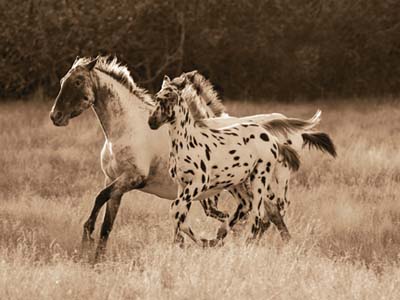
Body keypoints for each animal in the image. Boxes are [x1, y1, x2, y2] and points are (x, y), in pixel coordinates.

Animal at [147, 75, 300, 246]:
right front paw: (183, 243)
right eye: (157, 97)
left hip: (259, 178)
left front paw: (200, 242)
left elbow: (175, 210)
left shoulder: (198, 184)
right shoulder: (183, 185)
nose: (152, 121)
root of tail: (272, 139)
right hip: (238, 181)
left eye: (172, 98)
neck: (187, 142)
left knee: (258, 213)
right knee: (246, 205)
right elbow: (181, 216)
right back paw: (221, 234)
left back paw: (246, 243)